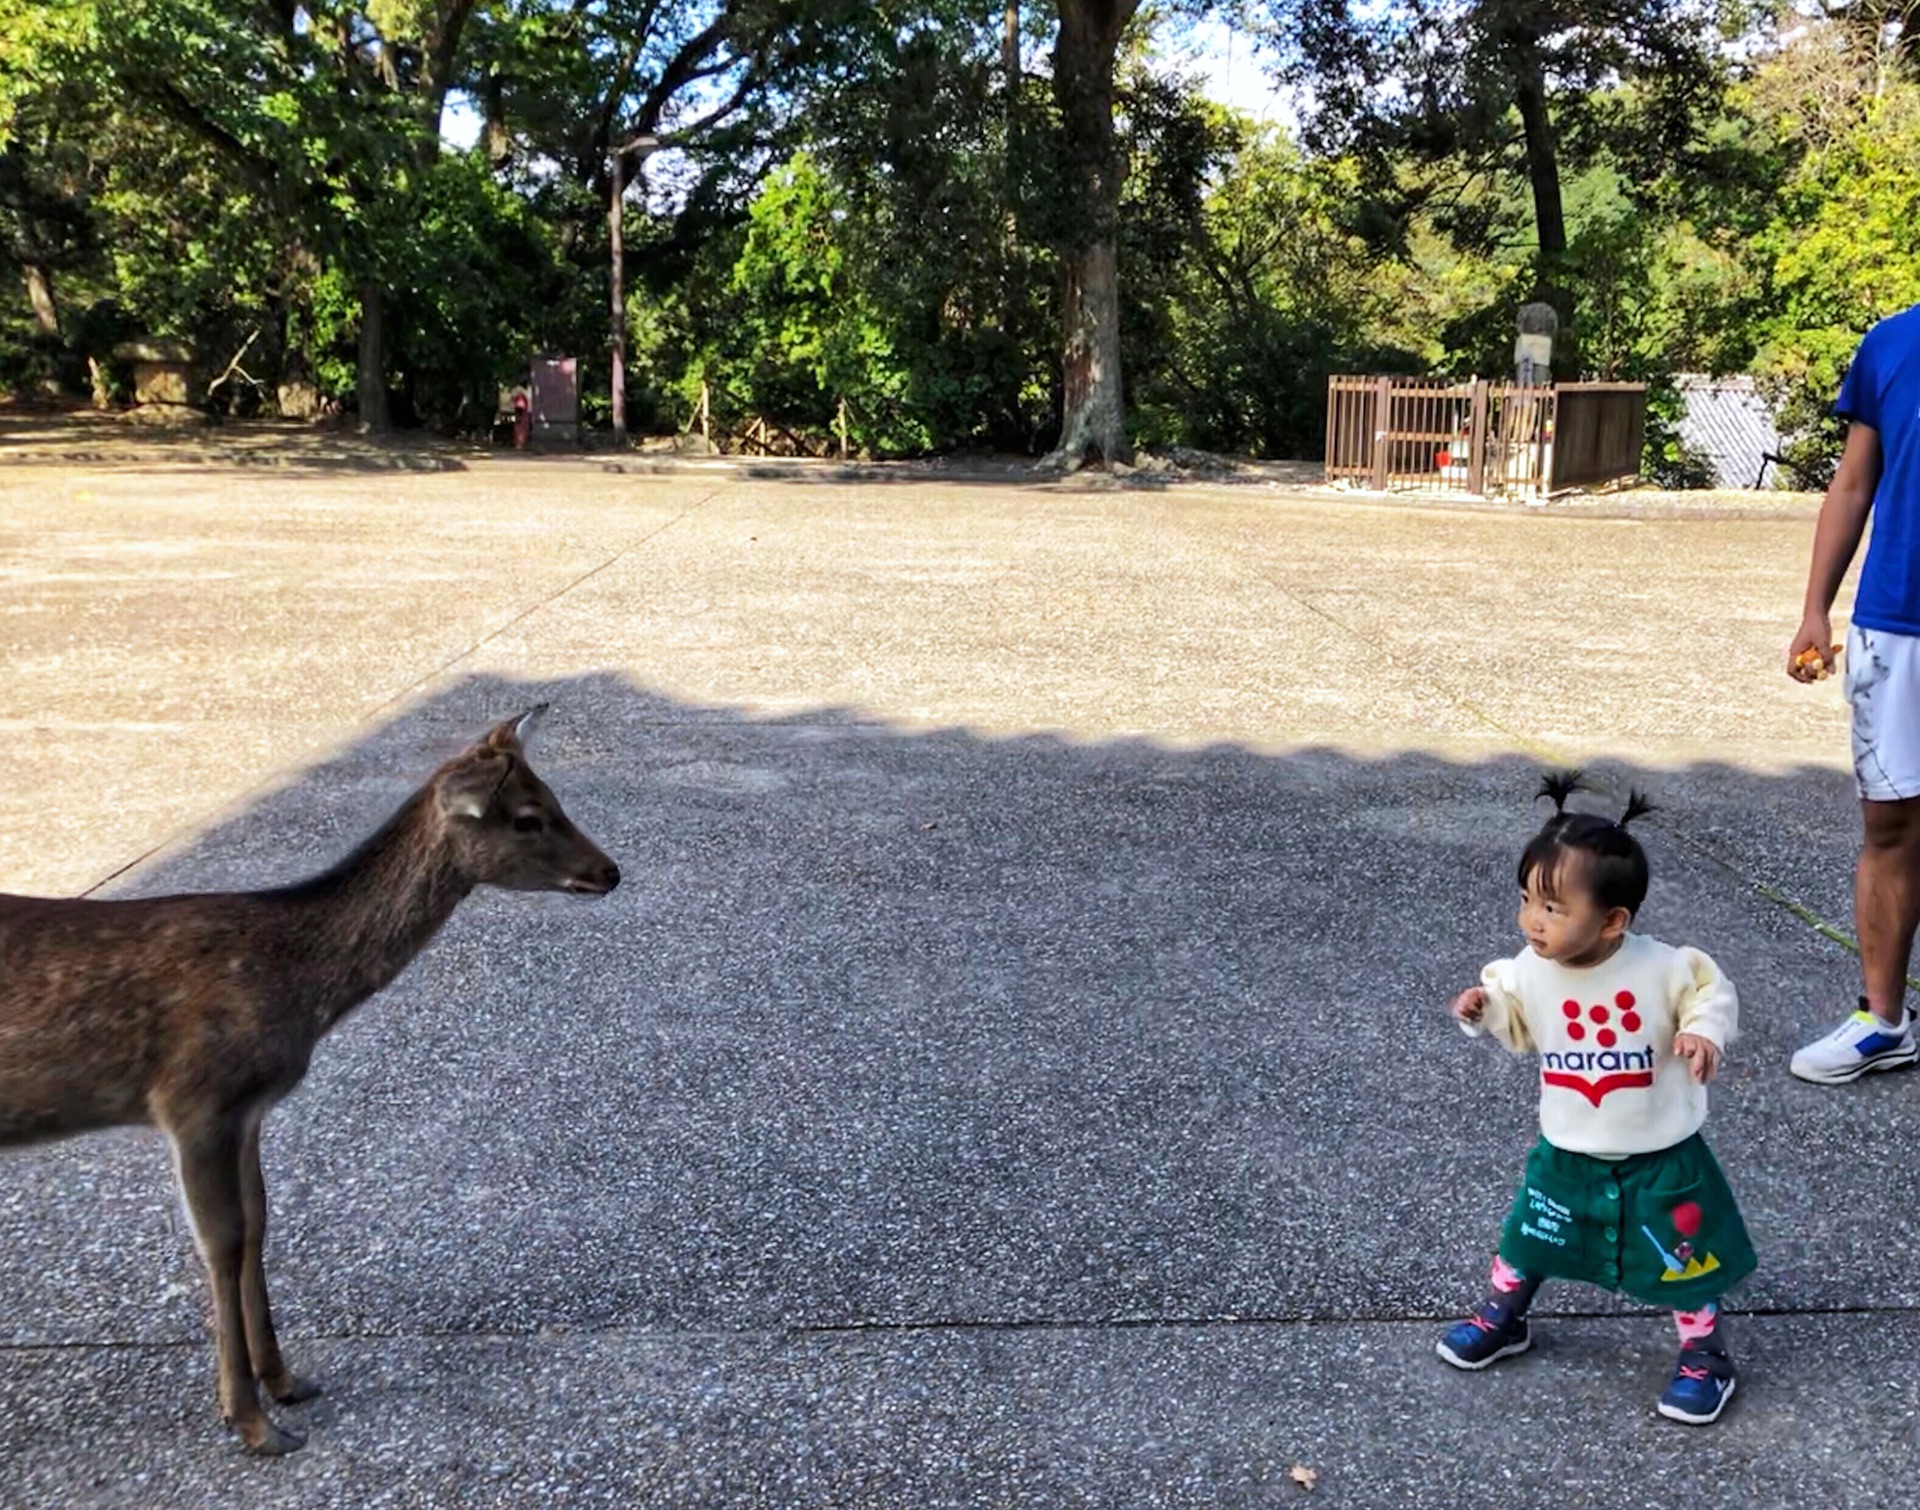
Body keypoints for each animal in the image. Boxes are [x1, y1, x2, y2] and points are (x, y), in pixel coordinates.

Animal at [0, 706, 614, 1444]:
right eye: (527, 818)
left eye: (553, 797)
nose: (610, 871)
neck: (294, 990)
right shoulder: (195, 1098)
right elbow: (221, 1243)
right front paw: (250, 1420)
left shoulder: (248, 1110)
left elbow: (258, 1224)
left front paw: (285, 1380)